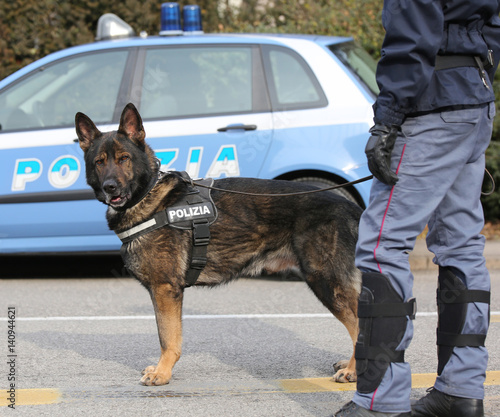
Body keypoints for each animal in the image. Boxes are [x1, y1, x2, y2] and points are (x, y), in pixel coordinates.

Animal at [75, 102, 364, 386]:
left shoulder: (165, 289)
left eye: (124, 158)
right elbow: (167, 334)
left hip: (326, 281)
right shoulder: (162, 292)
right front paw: (161, 368)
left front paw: (163, 373)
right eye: (99, 162)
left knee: (360, 324)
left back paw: (353, 370)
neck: (148, 196)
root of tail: (351, 206)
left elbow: (167, 338)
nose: (110, 187)